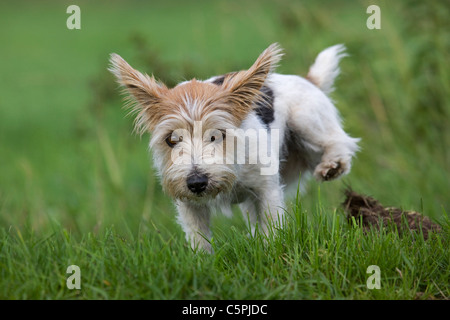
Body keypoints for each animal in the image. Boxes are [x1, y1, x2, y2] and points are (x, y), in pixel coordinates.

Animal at [109, 43, 358, 252]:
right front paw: (202, 263)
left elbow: (271, 220)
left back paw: (332, 165)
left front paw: (272, 250)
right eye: (171, 139)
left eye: (217, 135)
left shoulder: (266, 187)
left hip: (306, 118)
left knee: (337, 140)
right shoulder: (187, 201)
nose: (196, 183)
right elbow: (198, 235)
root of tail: (308, 79)